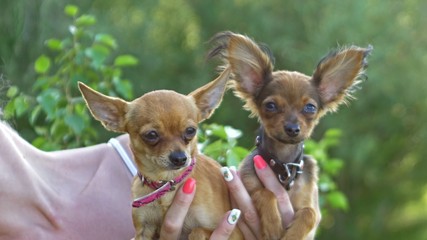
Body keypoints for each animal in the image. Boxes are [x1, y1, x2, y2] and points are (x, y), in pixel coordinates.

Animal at [210, 31, 372, 240]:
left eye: (310, 107)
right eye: (270, 106)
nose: (293, 128)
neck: (284, 166)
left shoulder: (310, 202)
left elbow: (309, 214)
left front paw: (291, 235)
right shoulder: (248, 186)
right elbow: (266, 193)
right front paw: (272, 225)